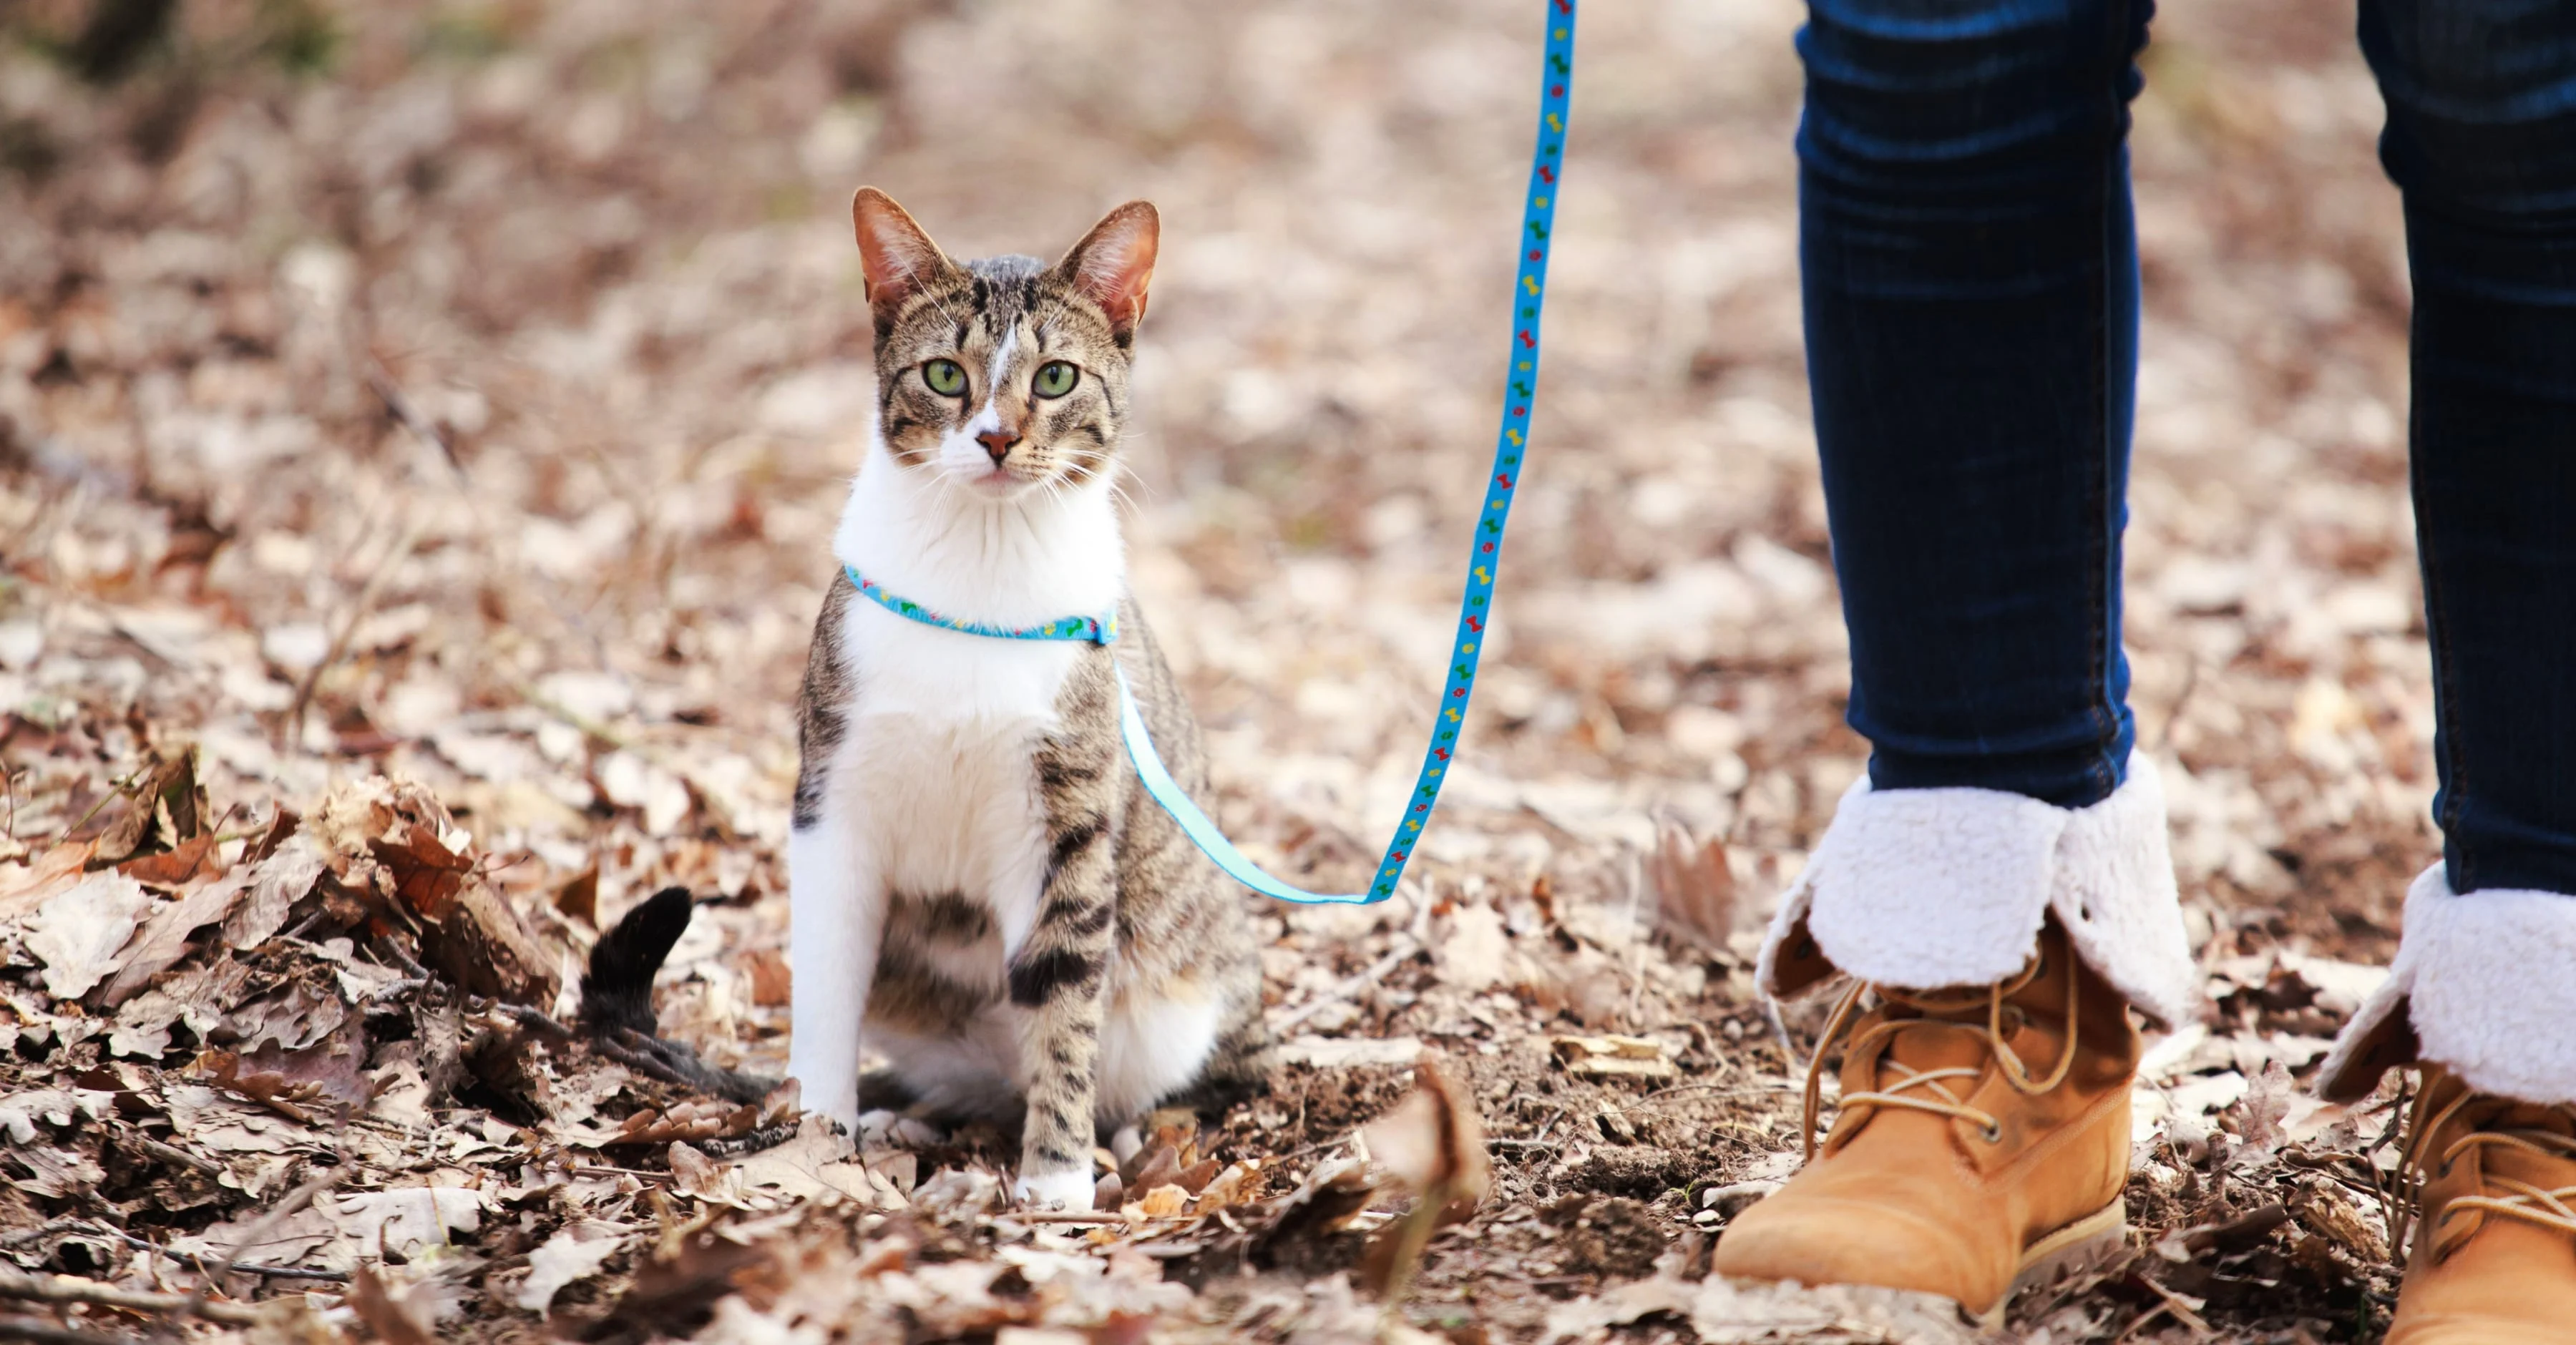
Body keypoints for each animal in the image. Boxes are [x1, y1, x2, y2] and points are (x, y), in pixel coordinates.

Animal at [783, 185, 1267, 1205]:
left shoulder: (1066, 816)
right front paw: (812, 1132)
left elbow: (1062, 998)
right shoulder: (833, 796)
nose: (998, 437)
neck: (982, 564)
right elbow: (826, 974)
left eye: (1053, 378)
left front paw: (1055, 1179)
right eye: (942, 374)